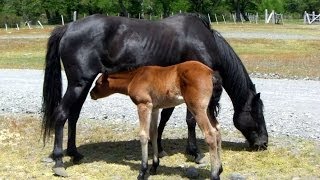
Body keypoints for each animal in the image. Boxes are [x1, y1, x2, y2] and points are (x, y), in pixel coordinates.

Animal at [90, 60, 222, 179]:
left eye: (98, 82)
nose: (91, 94)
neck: (134, 77)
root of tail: (210, 72)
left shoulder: (144, 105)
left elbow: (143, 135)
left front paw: (142, 171)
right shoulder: (154, 108)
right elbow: (153, 133)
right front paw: (154, 166)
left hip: (197, 108)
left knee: (210, 134)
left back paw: (214, 174)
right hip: (208, 108)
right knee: (217, 130)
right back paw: (219, 168)